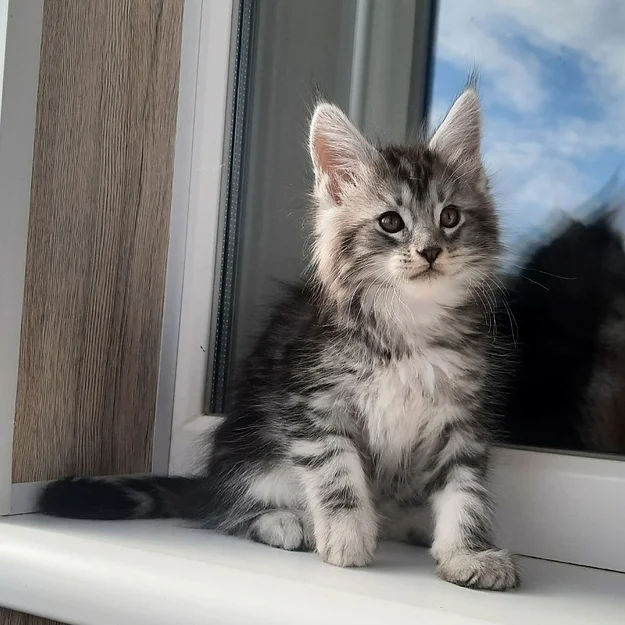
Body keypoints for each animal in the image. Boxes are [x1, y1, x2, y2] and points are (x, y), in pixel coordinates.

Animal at [37, 88, 516, 588]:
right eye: (390, 222)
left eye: (449, 217)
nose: (430, 251)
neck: (409, 325)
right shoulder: (311, 403)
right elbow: (336, 472)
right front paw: (347, 536)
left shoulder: (460, 419)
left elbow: (466, 491)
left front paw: (467, 553)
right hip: (253, 451)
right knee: (225, 510)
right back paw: (285, 522)